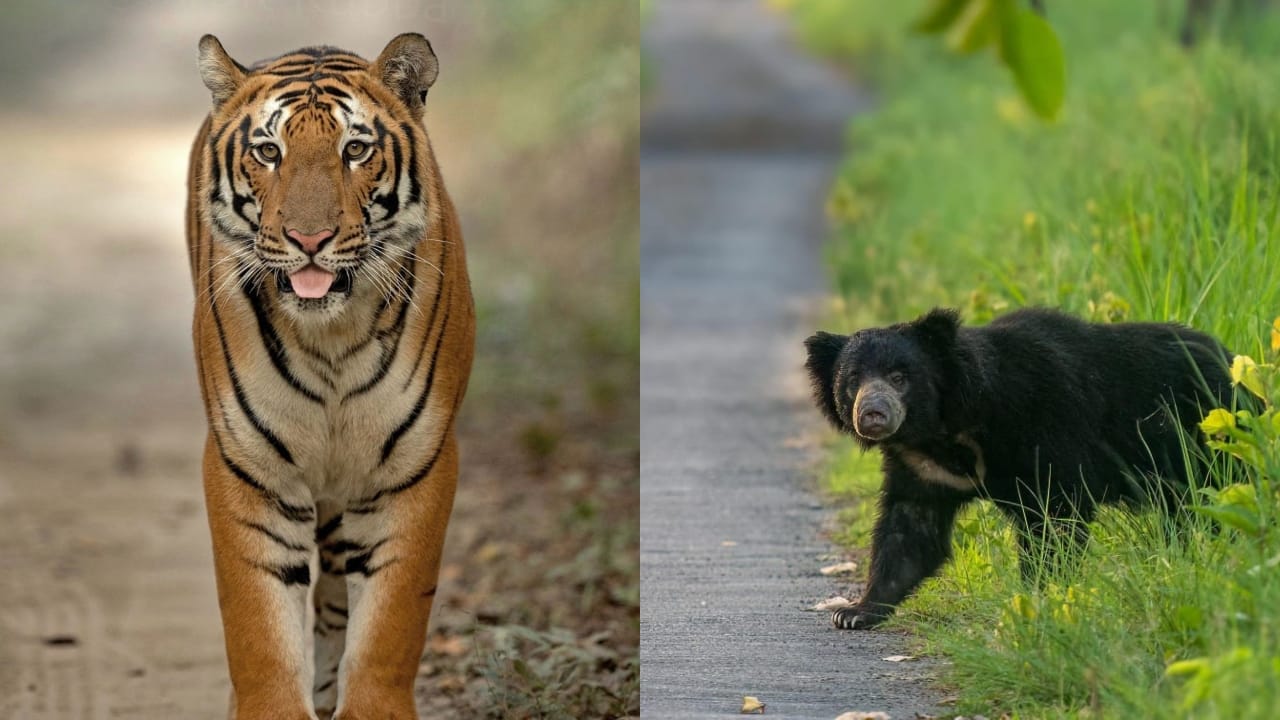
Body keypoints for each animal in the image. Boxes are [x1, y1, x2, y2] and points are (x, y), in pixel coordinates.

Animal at [186, 33, 474, 720]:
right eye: (269, 152)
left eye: (356, 150)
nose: (308, 238)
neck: (332, 340)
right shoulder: (246, 466)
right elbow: (258, 630)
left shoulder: (417, 465)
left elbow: (389, 629)